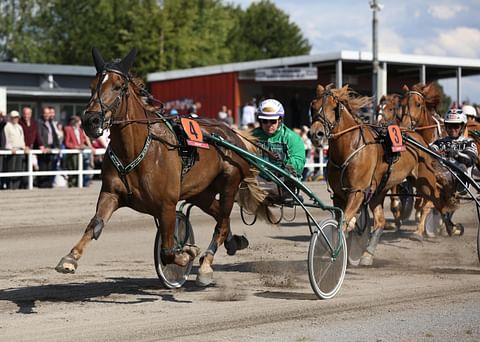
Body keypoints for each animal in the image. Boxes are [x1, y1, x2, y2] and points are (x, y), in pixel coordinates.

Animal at [55, 46, 270, 284]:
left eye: (119, 86)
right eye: (92, 86)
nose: (90, 121)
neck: (137, 151)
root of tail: (232, 133)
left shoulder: (166, 204)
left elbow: (168, 251)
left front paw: (187, 253)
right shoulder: (110, 194)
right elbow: (95, 225)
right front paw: (70, 258)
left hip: (229, 184)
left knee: (221, 223)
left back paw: (205, 266)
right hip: (201, 192)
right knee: (218, 215)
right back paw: (234, 242)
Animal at [308, 83, 458, 264]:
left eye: (333, 107)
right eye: (312, 106)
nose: (316, 134)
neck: (348, 148)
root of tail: (418, 138)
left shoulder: (357, 192)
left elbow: (344, 222)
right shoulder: (338, 195)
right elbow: (343, 221)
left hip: (423, 182)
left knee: (435, 199)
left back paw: (446, 226)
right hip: (381, 188)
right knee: (380, 221)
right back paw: (368, 254)